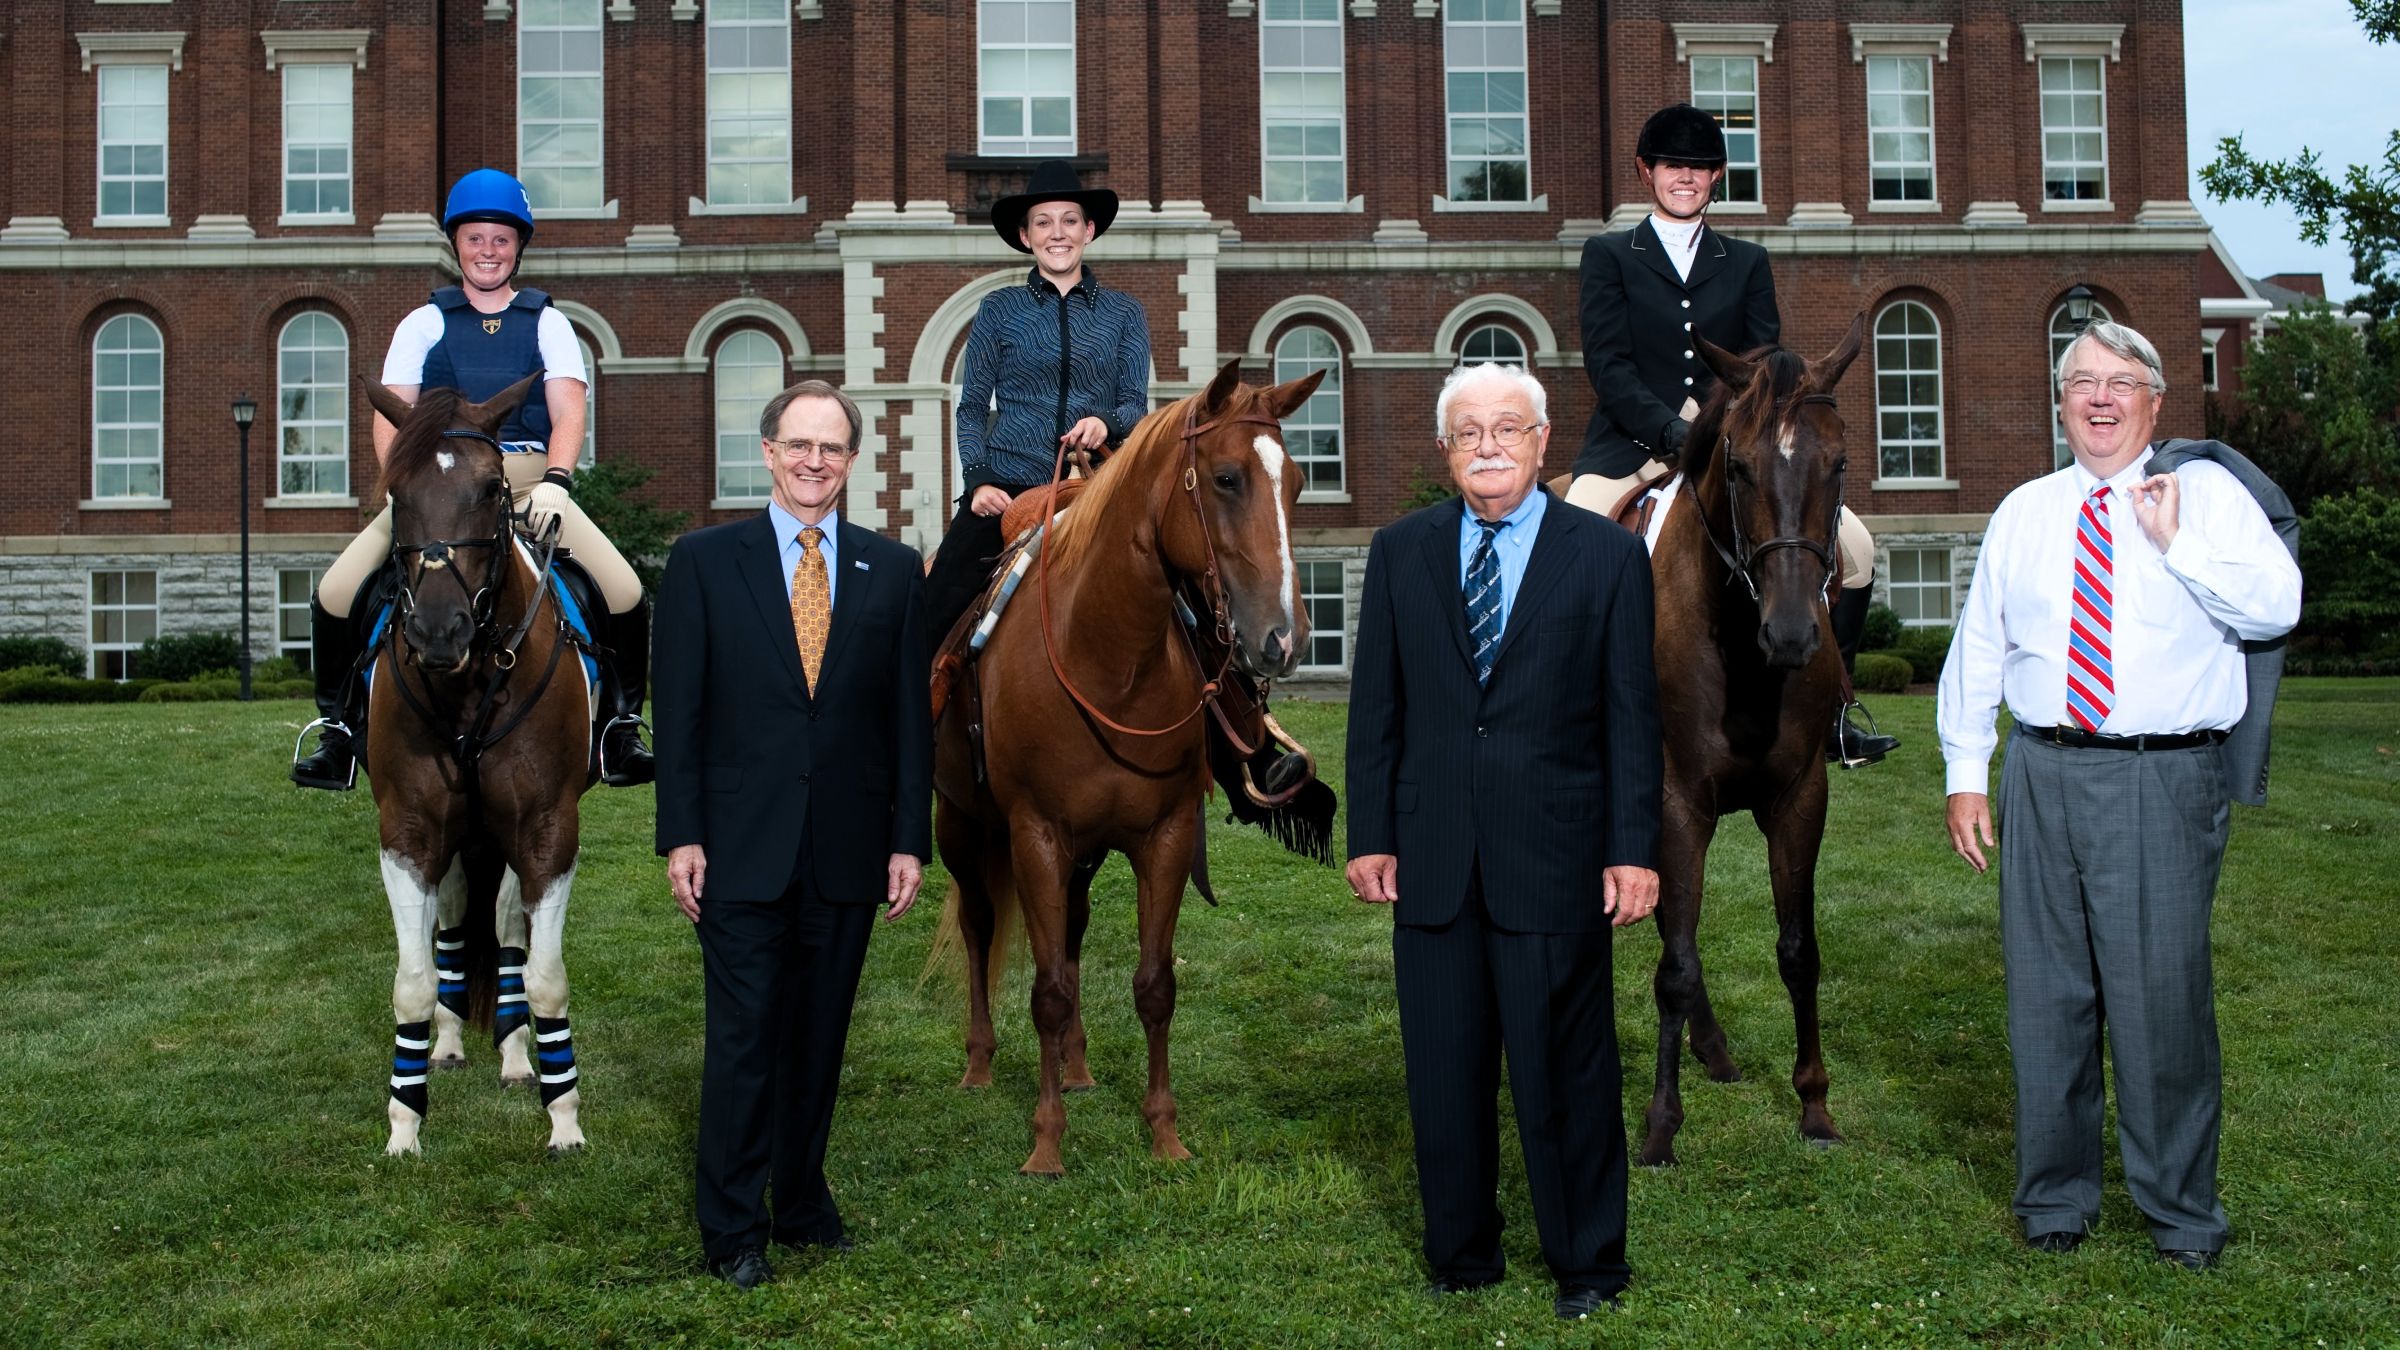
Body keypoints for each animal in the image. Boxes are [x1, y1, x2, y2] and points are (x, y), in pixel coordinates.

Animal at [360, 372, 595, 1153]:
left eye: (493, 487)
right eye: (397, 491)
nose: (438, 631)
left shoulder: (548, 829)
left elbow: (546, 973)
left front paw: (564, 1117)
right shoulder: (408, 831)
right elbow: (413, 978)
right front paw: (404, 1124)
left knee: (508, 931)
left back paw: (519, 1055)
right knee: (462, 924)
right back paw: (453, 1043)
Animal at [926, 355, 1324, 1167]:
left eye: (1299, 484)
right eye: (1227, 478)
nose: (1283, 639)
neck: (1108, 657)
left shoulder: (1162, 836)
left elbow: (1152, 985)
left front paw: (1164, 1132)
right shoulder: (1036, 836)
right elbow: (1045, 989)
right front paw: (1046, 1145)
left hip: (1083, 854)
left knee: (1074, 933)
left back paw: (1078, 1069)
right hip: (963, 829)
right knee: (980, 929)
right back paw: (980, 1066)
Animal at [1632, 309, 1872, 1162]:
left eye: (1840, 463)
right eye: (1736, 467)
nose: (1794, 634)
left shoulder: (1802, 797)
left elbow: (1800, 950)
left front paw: (1815, 1106)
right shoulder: (1675, 803)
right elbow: (1674, 961)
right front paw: (1660, 1126)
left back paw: (1715, 1049)